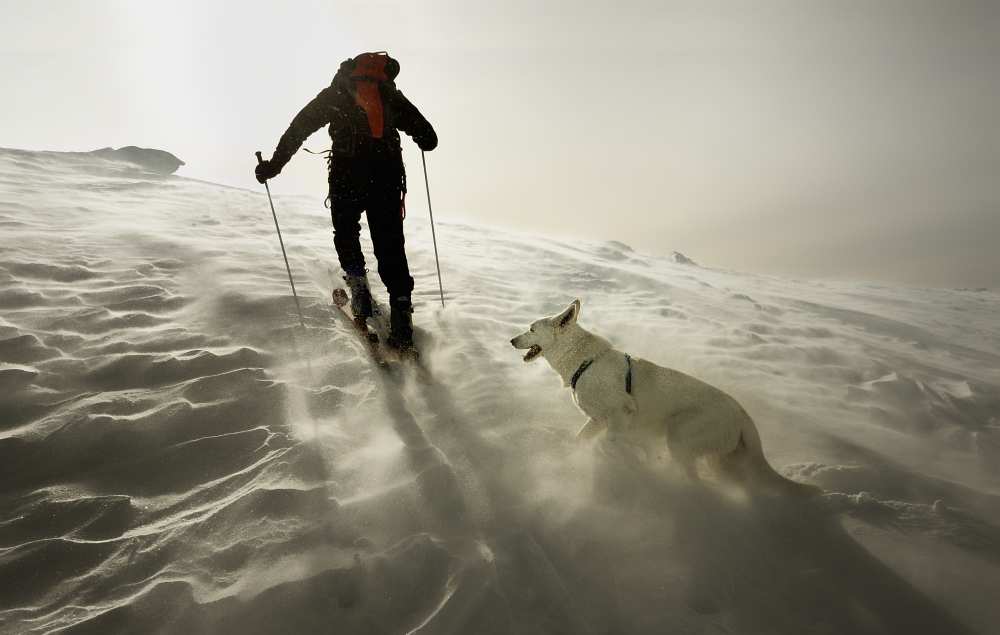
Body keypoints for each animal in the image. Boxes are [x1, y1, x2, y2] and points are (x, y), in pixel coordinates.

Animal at [512, 300, 816, 496]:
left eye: (531, 328)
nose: (512, 340)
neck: (585, 361)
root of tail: (742, 412)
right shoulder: (597, 421)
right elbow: (581, 440)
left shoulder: (621, 414)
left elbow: (612, 441)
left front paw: (628, 459)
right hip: (717, 458)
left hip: (680, 438)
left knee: (695, 479)